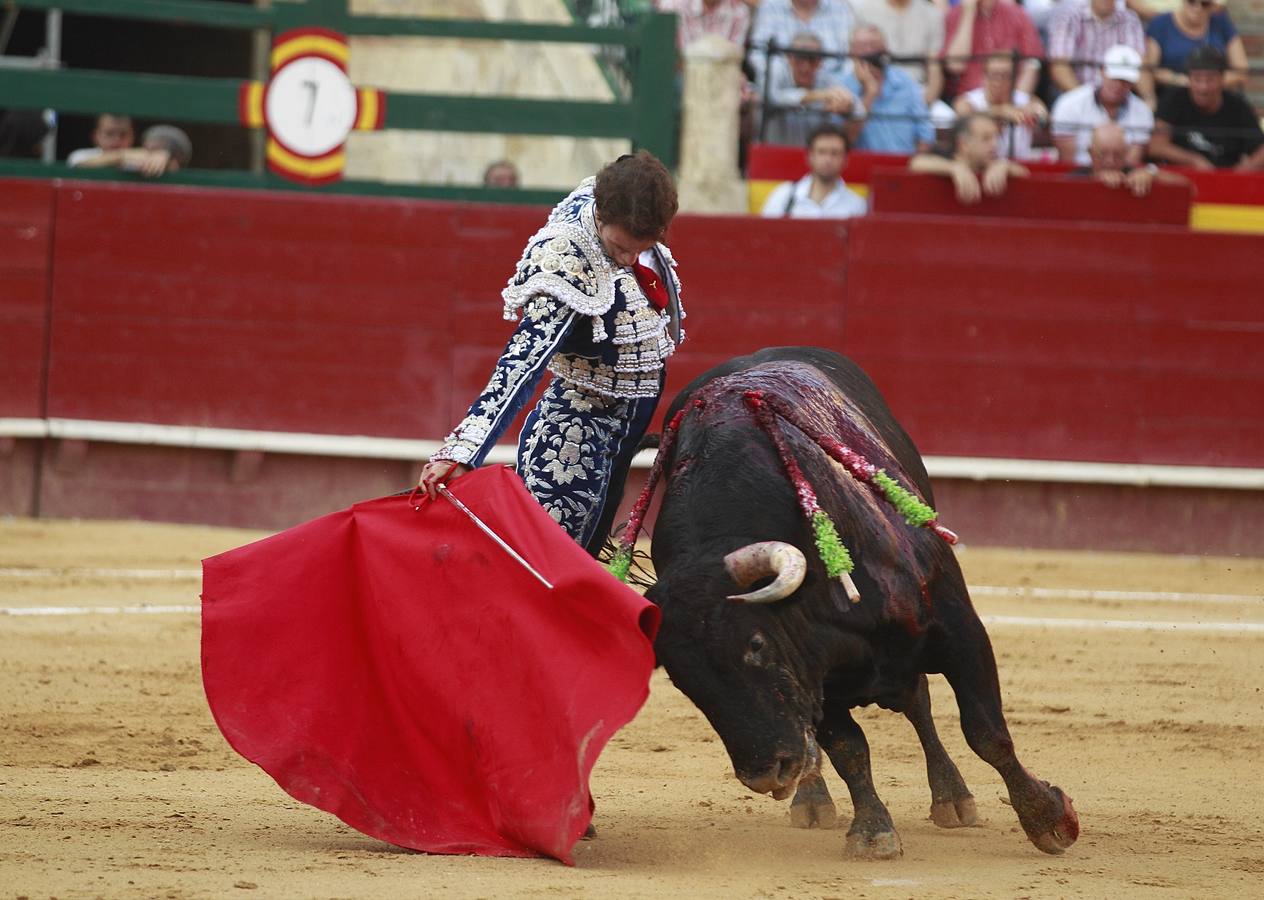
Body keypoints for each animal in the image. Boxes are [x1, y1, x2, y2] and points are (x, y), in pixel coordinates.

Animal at [647, 346, 1081, 859]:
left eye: (755, 644)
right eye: (681, 680)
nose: (765, 774)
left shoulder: (959, 629)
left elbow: (985, 731)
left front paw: (1048, 818)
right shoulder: (817, 674)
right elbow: (848, 749)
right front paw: (873, 831)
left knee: (920, 705)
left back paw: (952, 798)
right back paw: (812, 800)